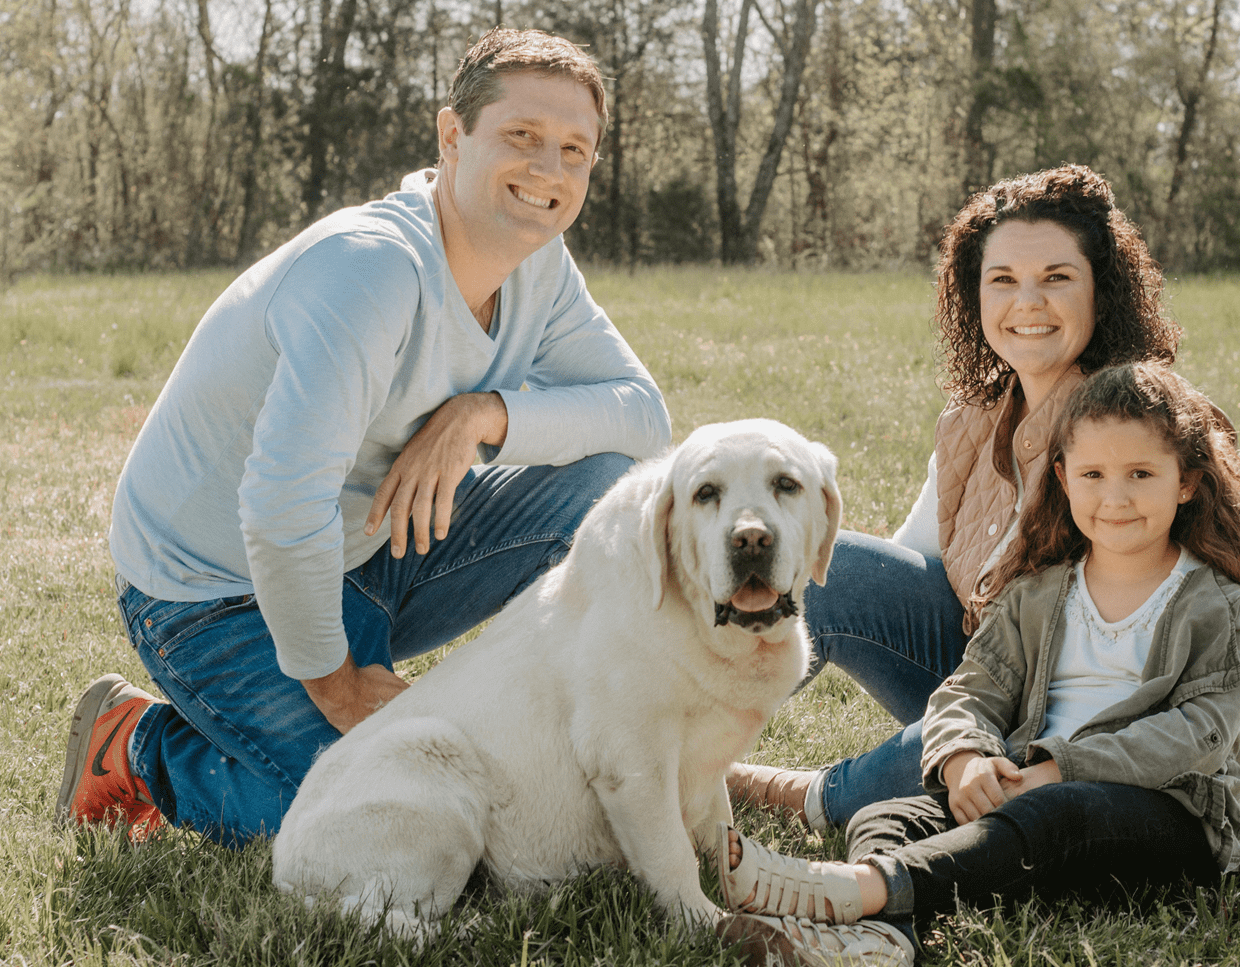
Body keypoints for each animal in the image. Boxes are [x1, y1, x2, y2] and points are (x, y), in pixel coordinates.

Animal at [271, 419, 843, 942]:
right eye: (706, 493)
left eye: (786, 484)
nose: (751, 539)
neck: (707, 630)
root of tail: (282, 871)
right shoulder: (632, 766)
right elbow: (671, 854)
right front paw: (705, 923)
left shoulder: (706, 767)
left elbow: (718, 826)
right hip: (429, 753)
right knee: (378, 914)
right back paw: (471, 928)